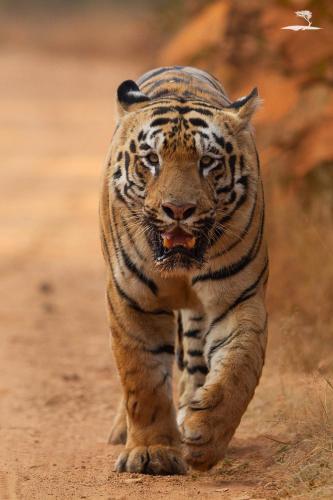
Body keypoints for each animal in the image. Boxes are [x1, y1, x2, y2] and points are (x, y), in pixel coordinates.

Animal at [100, 66, 268, 476]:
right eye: (151, 159)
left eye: (208, 162)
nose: (178, 209)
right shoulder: (133, 301)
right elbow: (142, 380)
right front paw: (151, 453)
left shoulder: (239, 298)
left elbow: (239, 367)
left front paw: (204, 435)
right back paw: (123, 430)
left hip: (196, 316)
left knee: (195, 362)